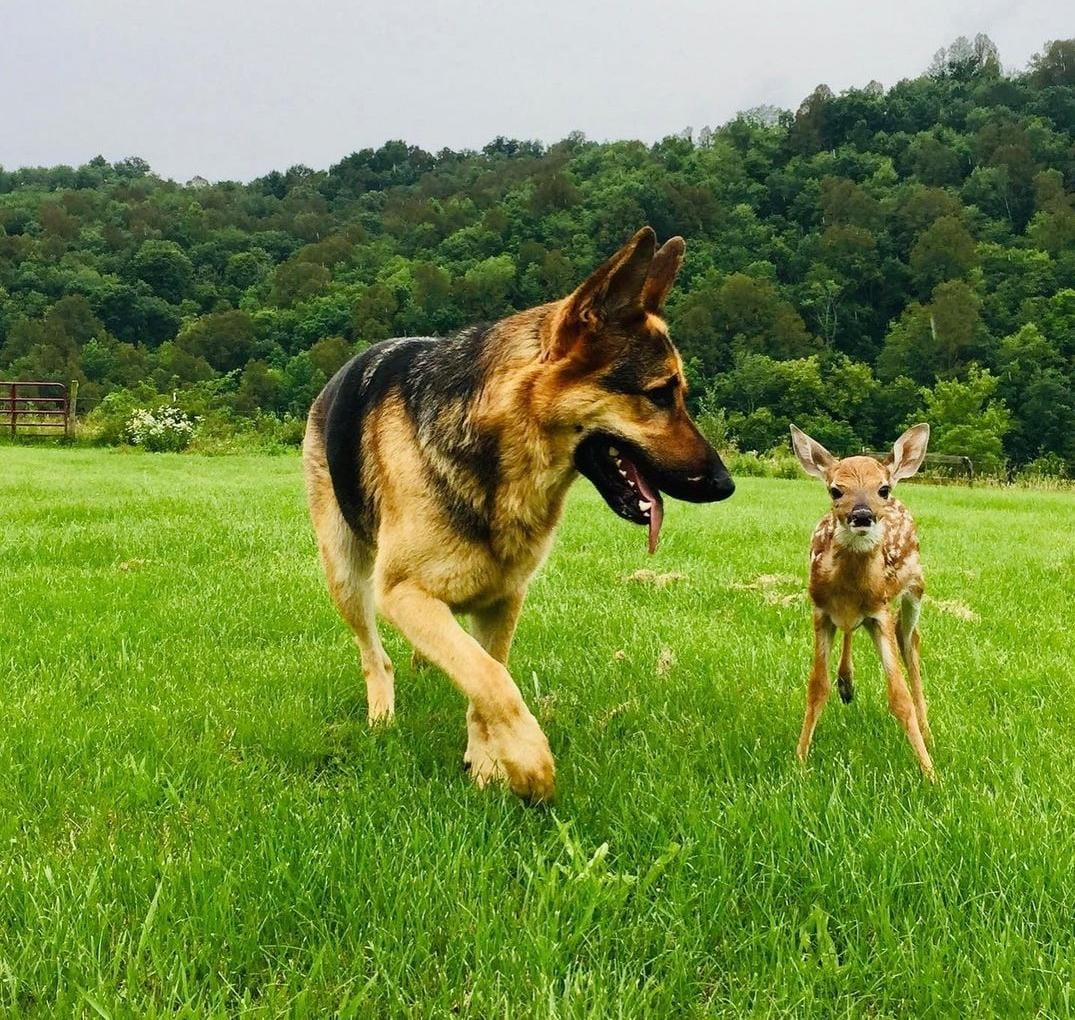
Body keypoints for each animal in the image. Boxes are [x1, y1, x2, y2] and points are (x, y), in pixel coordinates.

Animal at [307, 226, 735, 799]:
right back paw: (382, 714)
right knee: (376, 655)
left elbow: (485, 674)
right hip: (347, 577)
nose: (726, 484)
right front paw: (530, 764)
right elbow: (492, 680)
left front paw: (487, 763)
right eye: (659, 395)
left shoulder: (503, 600)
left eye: (678, 394)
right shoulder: (401, 592)